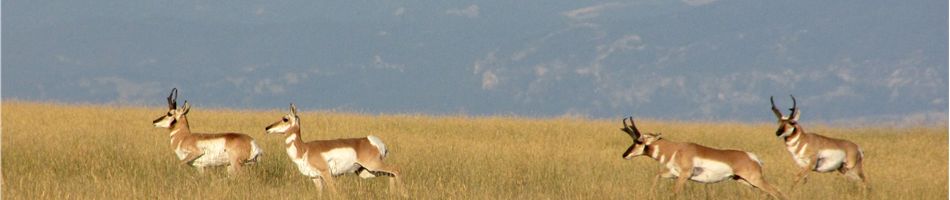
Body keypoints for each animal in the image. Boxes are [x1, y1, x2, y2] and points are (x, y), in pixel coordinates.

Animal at [266, 104, 408, 196]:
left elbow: (334, 192)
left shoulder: (326, 174)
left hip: (373, 166)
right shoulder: (315, 178)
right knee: (391, 173)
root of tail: (370, 140)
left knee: (396, 169)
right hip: (367, 172)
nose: (267, 128)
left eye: (285, 118)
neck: (304, 149)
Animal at [616, 117, 788, 198]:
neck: (676, 149)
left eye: (639, 141)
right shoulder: (673, 174)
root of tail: (752, 157)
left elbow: (674, 193)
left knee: (777, 192)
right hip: (743, 181)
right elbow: (656, 176)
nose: (624, 155)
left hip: (754, 179)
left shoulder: (684, 176)